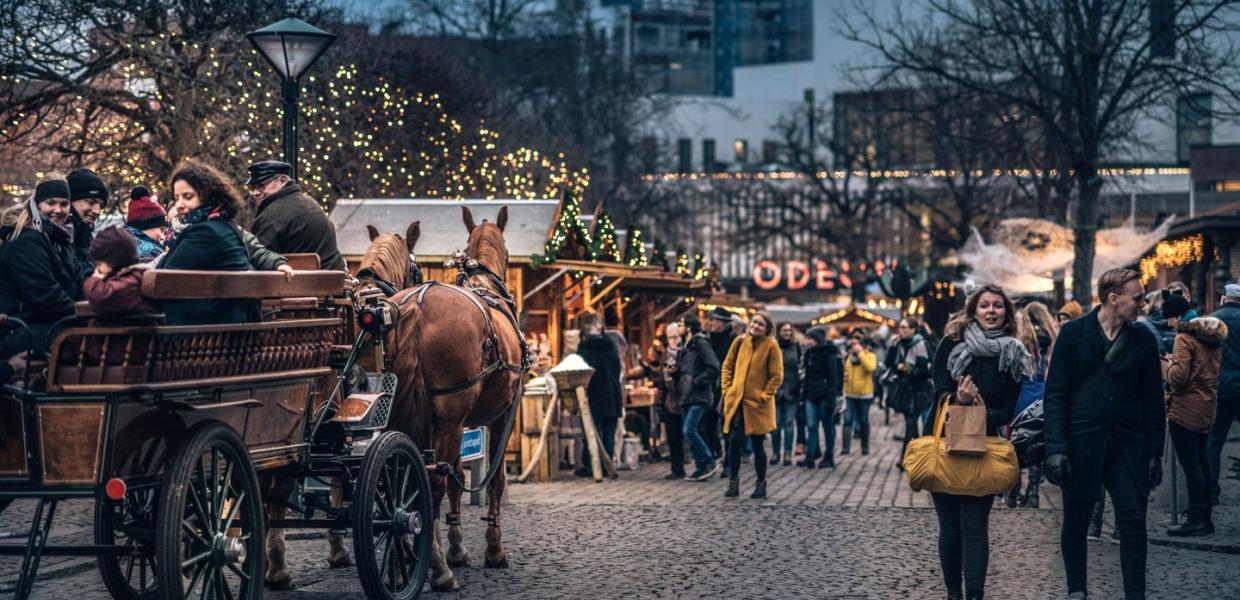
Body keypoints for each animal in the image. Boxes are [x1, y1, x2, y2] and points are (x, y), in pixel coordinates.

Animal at [354, 207, 523, 590]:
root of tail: (418, 305)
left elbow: (457, 477)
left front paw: (457, 547)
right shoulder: (501, 416)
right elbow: (494, 480)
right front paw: (493, 550)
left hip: (406, 412)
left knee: (406, 478)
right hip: (450, 417)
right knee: (433, 482)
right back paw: (438, 569)